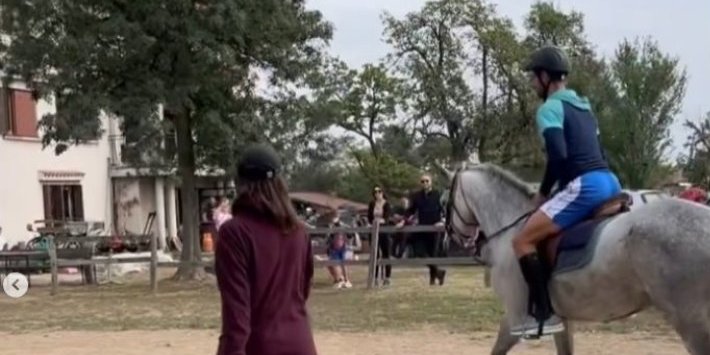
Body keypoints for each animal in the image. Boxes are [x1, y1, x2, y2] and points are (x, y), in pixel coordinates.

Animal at [444, 163, 710, 355]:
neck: (512, 225)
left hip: (693, 324)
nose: (451, 238)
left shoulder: (515, 319)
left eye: (446, 200)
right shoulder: (562, 321)